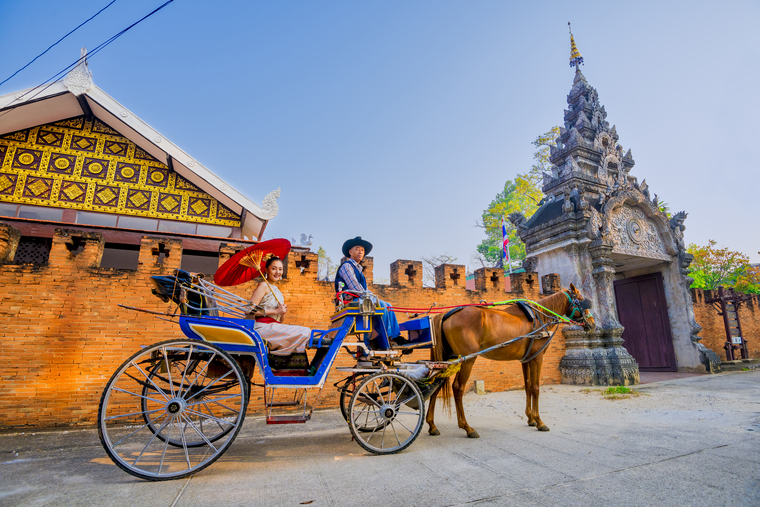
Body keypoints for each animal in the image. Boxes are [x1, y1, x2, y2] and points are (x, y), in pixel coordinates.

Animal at [424, 284, 596, 438]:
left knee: (436, 385)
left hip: (446, 359)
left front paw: (530, 418)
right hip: (467, 359)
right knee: (458, 388)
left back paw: (432, 425)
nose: (593, 324)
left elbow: (527, 387)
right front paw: (539, 421)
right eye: (582, 300)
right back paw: (467, 427)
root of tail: (445, 315)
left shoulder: (526, 359)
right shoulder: (537, 358)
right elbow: (535, 388)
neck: (541, 317)